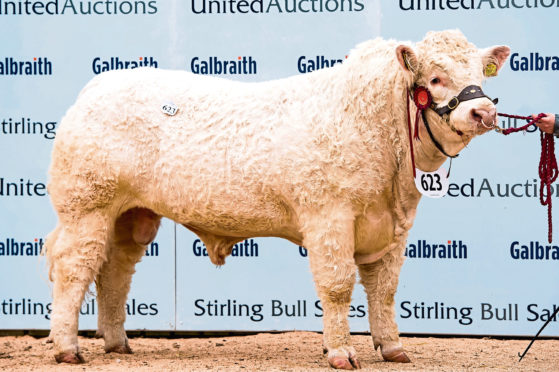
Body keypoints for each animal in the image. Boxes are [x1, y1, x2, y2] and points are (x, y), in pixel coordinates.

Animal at [47, 31, 512, 370]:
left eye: (482, 74)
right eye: (434, 78)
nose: (484, 113)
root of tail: (99, 85)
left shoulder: (394, 227)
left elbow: (384, 289)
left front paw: (394, 348)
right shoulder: (329, 216)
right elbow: (338, 285)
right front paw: (341, 353)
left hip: (132, 215)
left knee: (115, 270)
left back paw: (117, 343)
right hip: (86, 206)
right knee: (74, 268)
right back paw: (68, 348)